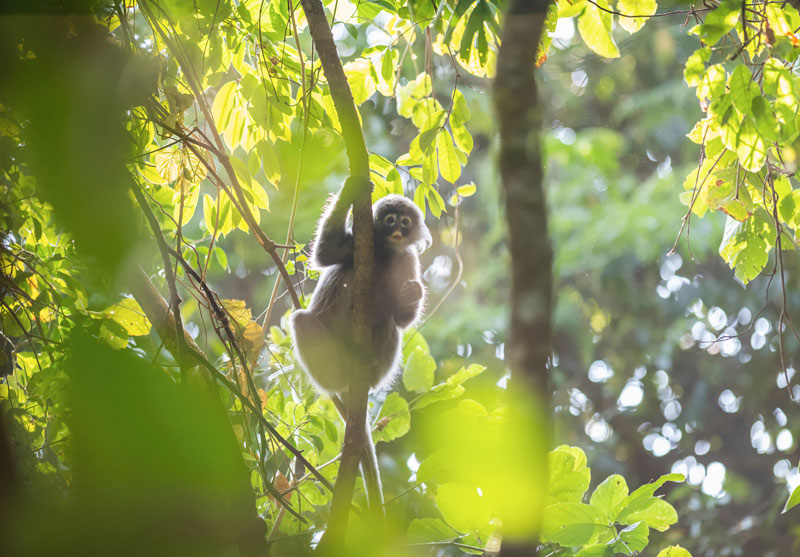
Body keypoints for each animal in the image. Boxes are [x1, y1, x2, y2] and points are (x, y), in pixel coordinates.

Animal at [290, 178, 432, 396]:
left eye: (405, 222)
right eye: (390, 220)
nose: (397, 231)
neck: (384, 252)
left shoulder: (407, 259)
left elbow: (401, 320)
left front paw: (413, 293)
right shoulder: (357, 243)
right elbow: (325, 253)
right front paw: (351, 189)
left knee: (389, 322)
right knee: (301, 321)